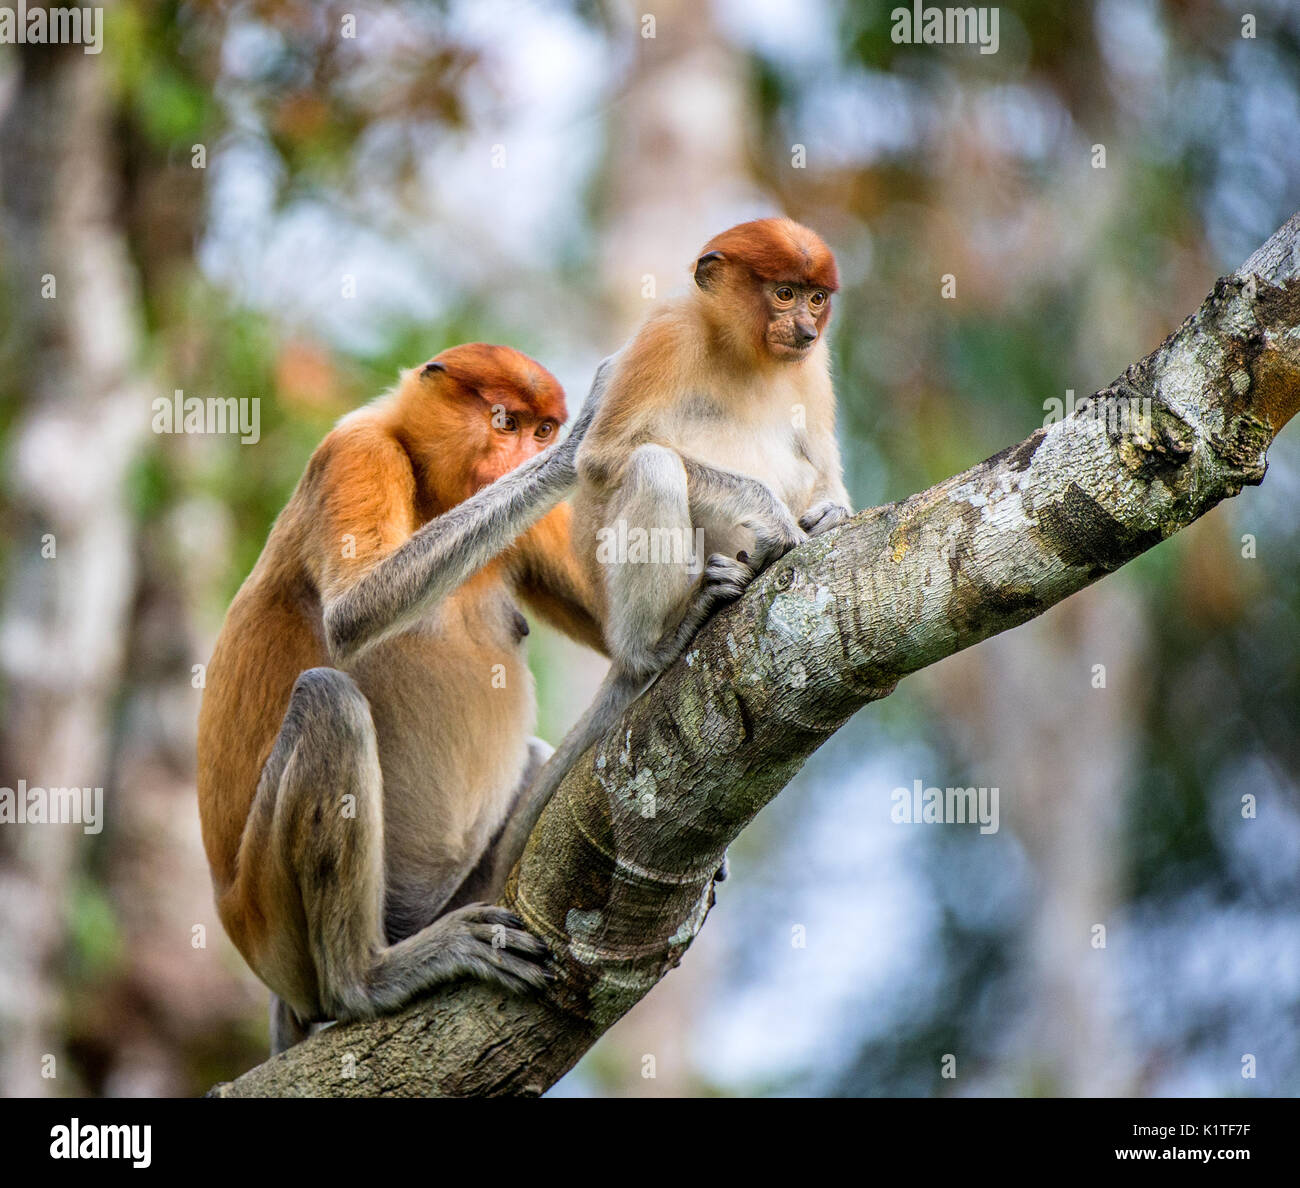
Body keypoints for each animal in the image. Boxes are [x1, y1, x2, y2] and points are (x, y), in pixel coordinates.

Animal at [196, 342, 612, 1055]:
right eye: (505, 422)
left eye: (540, 430)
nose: (524, 457)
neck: (426, 481)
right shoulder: (358, 454)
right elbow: (357, 609)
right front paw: (583, 440)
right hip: (270, 921)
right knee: (329, 701)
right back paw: (364, 980)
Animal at [517, 217, 852, 847]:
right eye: (784, 293)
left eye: (817, 298)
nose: (803, 328)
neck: (744, 351)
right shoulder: (666, 334)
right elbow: (604, 456)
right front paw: (775, 519)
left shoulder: (813, 368)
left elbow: (823, 470)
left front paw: (828, 517)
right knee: (654, 466)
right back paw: (657, 646)